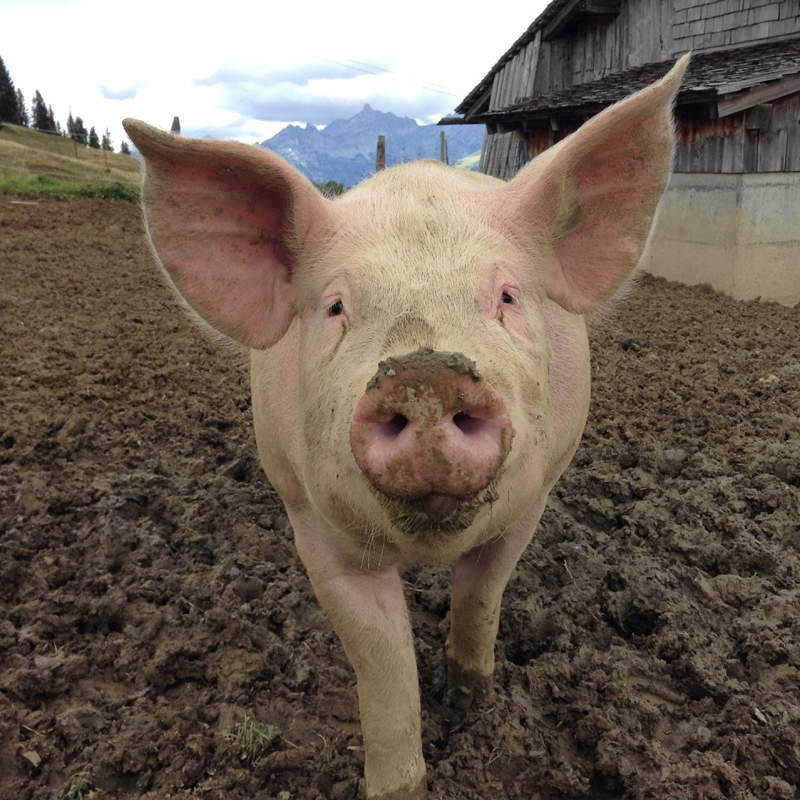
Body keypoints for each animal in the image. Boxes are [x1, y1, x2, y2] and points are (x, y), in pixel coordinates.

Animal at [123, 54, 688, 799]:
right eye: (336, 306)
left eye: (507, 295)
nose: (426, 373)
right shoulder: (313, 524)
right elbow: (382, 662)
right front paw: (402, 782)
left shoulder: (530, 499)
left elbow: (482, 594)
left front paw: (471, 703)